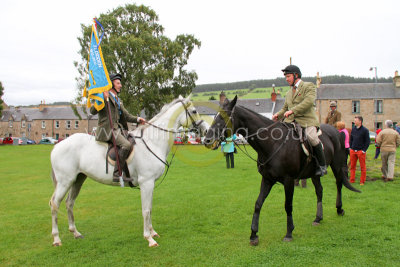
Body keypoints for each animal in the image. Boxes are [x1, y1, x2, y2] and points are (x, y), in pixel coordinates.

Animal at [49, 96, 209, 247]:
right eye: (194, 111)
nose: (207, 131)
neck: (152, 142)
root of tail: (58, 146)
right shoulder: (146, 183)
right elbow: (145, 210)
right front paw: (149, 238)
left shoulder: (150, 184)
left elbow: (150, 208)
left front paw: (153, 232)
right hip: (65, 182)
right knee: (55, 204)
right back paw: (56, 239)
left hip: (78, 179)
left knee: (69, 203)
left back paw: (75, 233)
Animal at [203, 97, 360, 246]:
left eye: (224, 116)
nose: (207, 140)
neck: (272, 143)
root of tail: (337, 131)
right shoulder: (267, 179)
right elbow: (258, 204)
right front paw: (254, 235)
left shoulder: (289, 180)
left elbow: (288, 205)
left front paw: (289, 233)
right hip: (314, 174)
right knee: (319, 191)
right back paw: (318, 218)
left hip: (337, 165)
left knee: (339, 184)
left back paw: (339, 209)